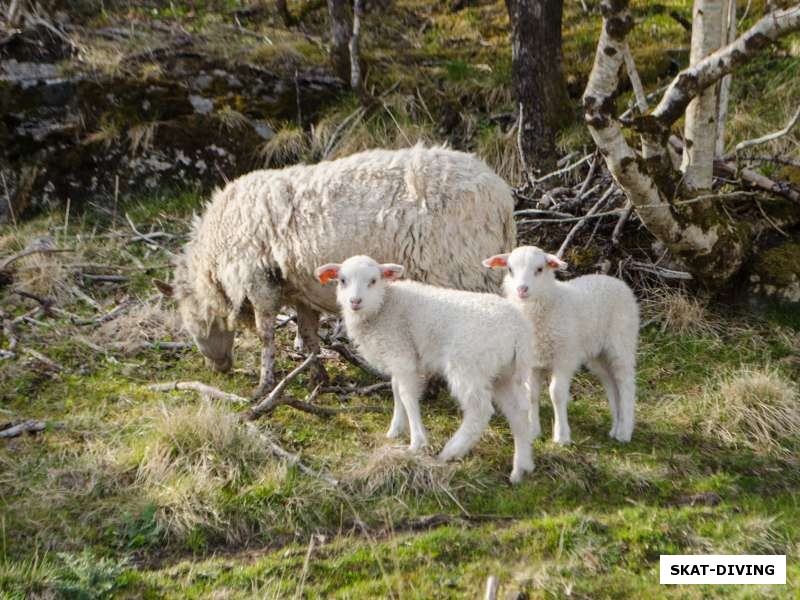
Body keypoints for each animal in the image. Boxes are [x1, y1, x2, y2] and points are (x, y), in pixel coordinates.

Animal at [155, 145, 520, 398]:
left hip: (459, 269)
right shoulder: (298, 287)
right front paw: (318, 379)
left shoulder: (258, 279)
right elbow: (309, 335)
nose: (218, 368)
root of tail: (502, 198)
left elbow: (266, 335)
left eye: (191, 322)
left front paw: (264, 385)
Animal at [314, 253, 536, 482]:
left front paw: (416, 443)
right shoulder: (398, 356)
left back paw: (451, 451)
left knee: (480, 411)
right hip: (504, 372)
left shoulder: (400, 353)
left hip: (467, 365)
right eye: (342, 280)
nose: (355, 301)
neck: (383, 305)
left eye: (373, 281)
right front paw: (395, 430)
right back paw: (521, 467)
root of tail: (519, 329)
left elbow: (406, 395)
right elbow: (396, 391)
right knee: (518, 412)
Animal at [482, 245, 636, 446]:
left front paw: (561, 436)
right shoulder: (533, 362)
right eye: (510, 269)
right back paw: (616, 428)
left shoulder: (564, 359)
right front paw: (533, 431)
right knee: (611, 383)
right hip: (598, 354)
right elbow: (532, 395)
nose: (522, 289)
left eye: (539, 269)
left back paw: (625, 432)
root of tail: (615, 281)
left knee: (626, 383)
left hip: (622, 342)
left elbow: (556, 394)